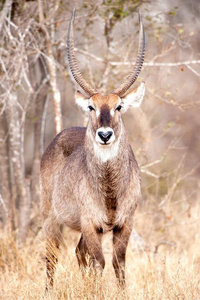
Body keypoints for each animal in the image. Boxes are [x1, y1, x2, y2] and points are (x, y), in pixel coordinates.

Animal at [40, 9, 145, 290]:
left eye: (119, 106)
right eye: (91, 107)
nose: (105, 134)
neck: (110, 191)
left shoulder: (125, 223)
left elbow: (118, 263)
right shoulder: (90, 223)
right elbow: (100, 262)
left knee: (79, 252)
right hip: (51, 218)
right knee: (51, 255)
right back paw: (48, 291)